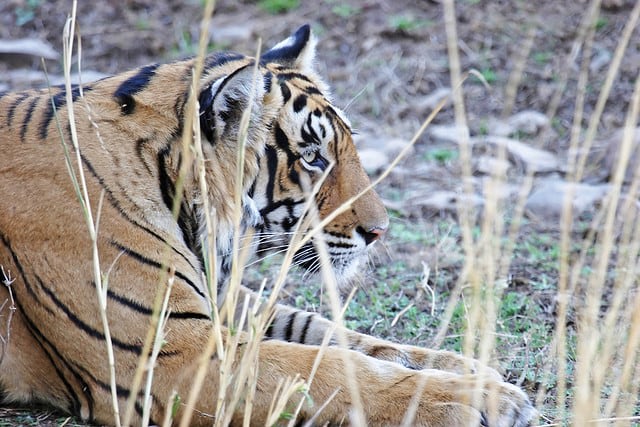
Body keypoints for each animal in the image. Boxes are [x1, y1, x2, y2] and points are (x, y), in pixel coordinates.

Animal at [0, 24, 535, 426]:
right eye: (313, 157)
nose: (380, 232)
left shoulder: (217, 302)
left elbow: (326, 331)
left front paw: (468, 368)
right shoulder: (169, 352)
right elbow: (324, 366)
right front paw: (473, 399)